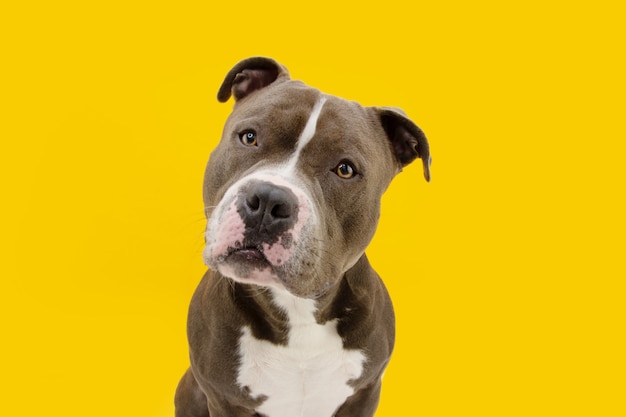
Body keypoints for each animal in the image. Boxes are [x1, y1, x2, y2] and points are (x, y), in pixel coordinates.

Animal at [174, 56, 428, 416]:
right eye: (249, 137)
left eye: (345, 169)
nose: (268, 200)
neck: (297, 313)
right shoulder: (222, 398)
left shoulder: (366, 392)